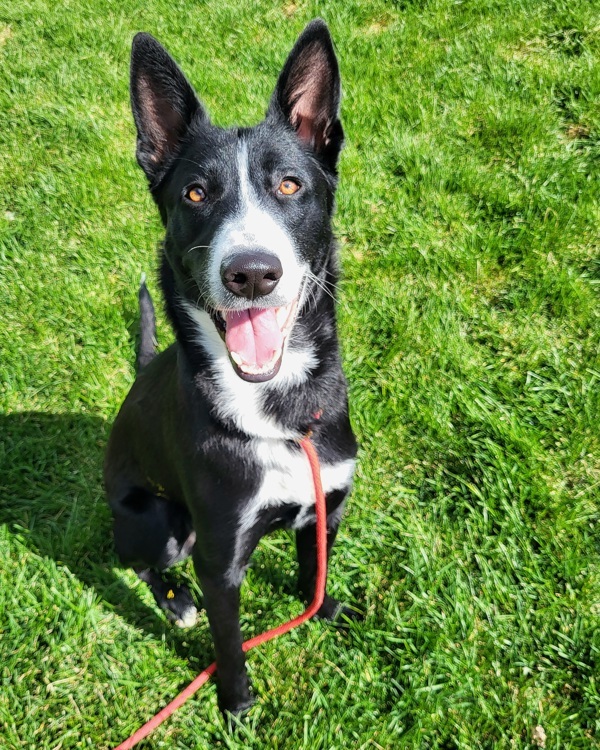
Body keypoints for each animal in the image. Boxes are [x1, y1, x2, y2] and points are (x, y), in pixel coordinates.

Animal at [103, 19, 356, 716]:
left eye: (290, 185)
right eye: (195, 193)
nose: (251, 273)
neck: (280, 410)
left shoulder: (327, 507)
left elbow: (314, 567)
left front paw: (323, 611)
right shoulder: (220, 561)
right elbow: (231, 643)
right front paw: (237, 705)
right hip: (160, 522)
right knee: (140, 559)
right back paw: (174, 604)